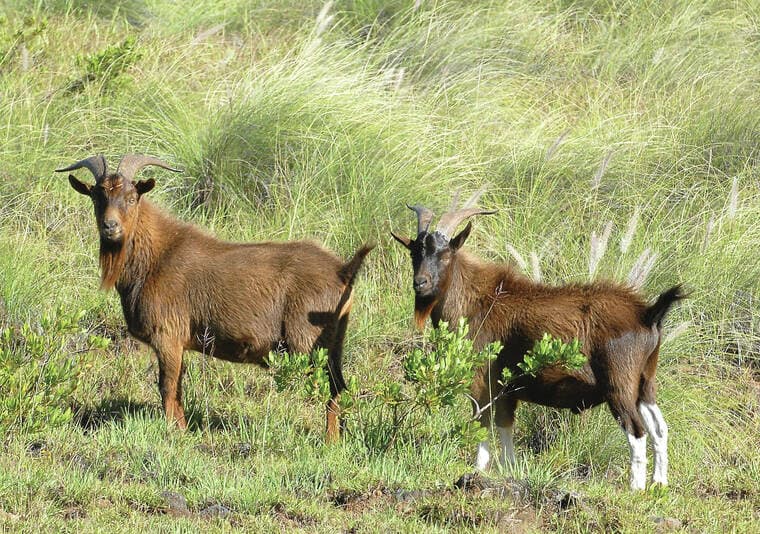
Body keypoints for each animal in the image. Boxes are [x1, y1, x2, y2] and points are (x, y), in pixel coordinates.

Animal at [58, 154, 373, 441]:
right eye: (96, 197)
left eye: (132, 197)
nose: (110, 227)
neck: (156, 257)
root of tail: (343, 271)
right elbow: (177, 388)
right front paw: (182, 430)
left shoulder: (167, 335)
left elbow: (167, 388)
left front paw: (175, 435)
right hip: (334, 343)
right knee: (339, 386)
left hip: (308, 343)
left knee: (330, 387)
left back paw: (329, 442)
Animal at [391, 191, 684, 489]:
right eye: (415, 252)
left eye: (445, 254)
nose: (421, 283)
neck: (480, 299)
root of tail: (647, 314)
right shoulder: (507, 388)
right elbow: (505, 424)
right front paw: (509, 468)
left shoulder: (481, 377)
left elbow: (482, 421)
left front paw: (478, 470)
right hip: (645, 383)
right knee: (659, 428)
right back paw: (659, 484)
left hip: (619, 384)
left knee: (636, 430)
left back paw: (635, 487)